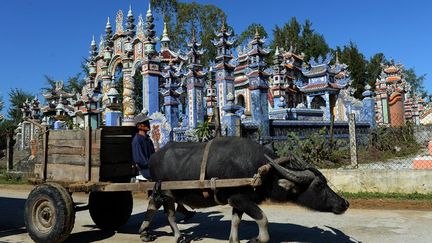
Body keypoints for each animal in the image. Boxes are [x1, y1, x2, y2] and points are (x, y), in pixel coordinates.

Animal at [140, 138, 350, 242]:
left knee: (157, 206)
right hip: (166, 191)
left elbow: (235, 222)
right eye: (319, 185)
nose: (344, 203)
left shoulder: (237, 201)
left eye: (325, 181)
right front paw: (256, 239)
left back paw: (146, 232)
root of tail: (153, 156)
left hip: (167, 192)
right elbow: (263, 220)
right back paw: (176, 236)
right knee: (166, 212)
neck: (262, 173)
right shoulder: (241, 200)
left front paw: (235, 240)